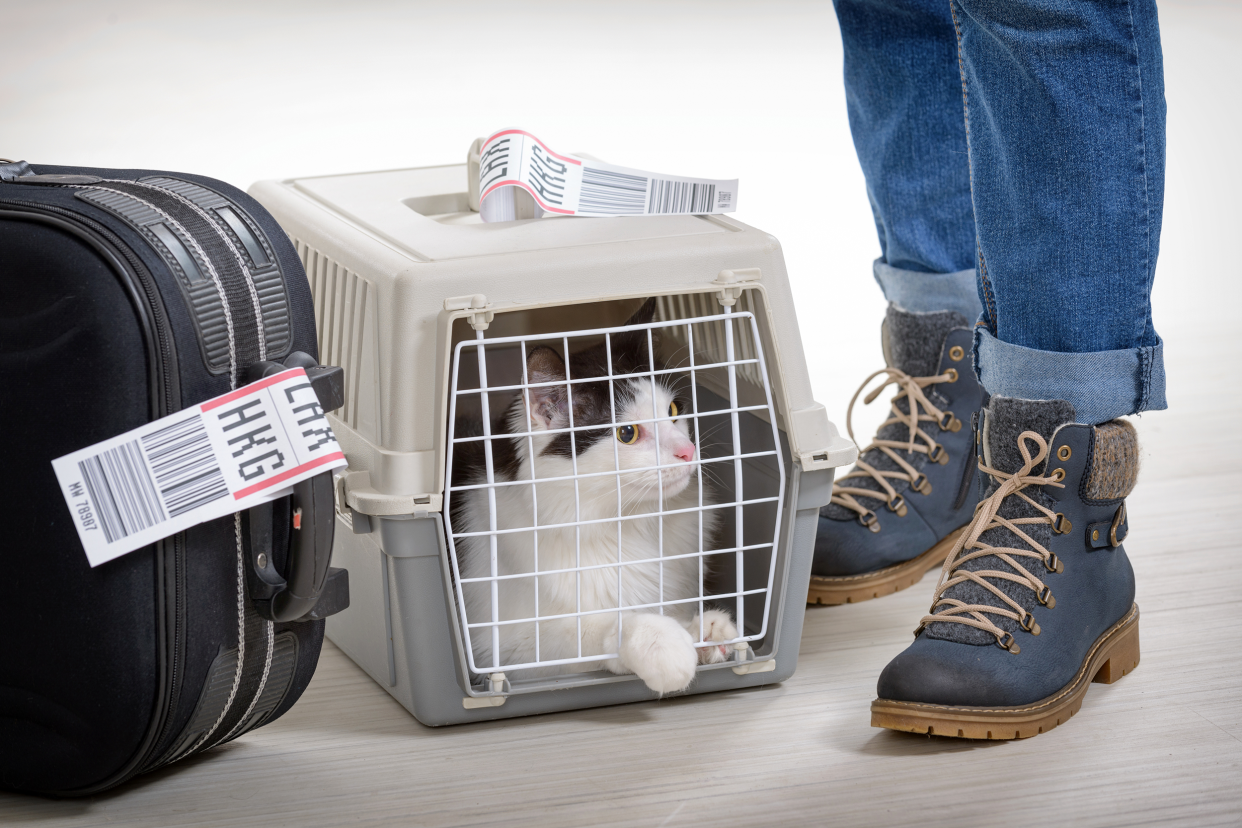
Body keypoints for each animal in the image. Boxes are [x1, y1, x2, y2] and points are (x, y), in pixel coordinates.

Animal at [449, 299, 730, 695]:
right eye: (627, 434)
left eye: (673, 411)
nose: (688, 451)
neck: (631, 525)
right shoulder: (501, 650)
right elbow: (594, 629)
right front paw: (665, 643)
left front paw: (704, 632)